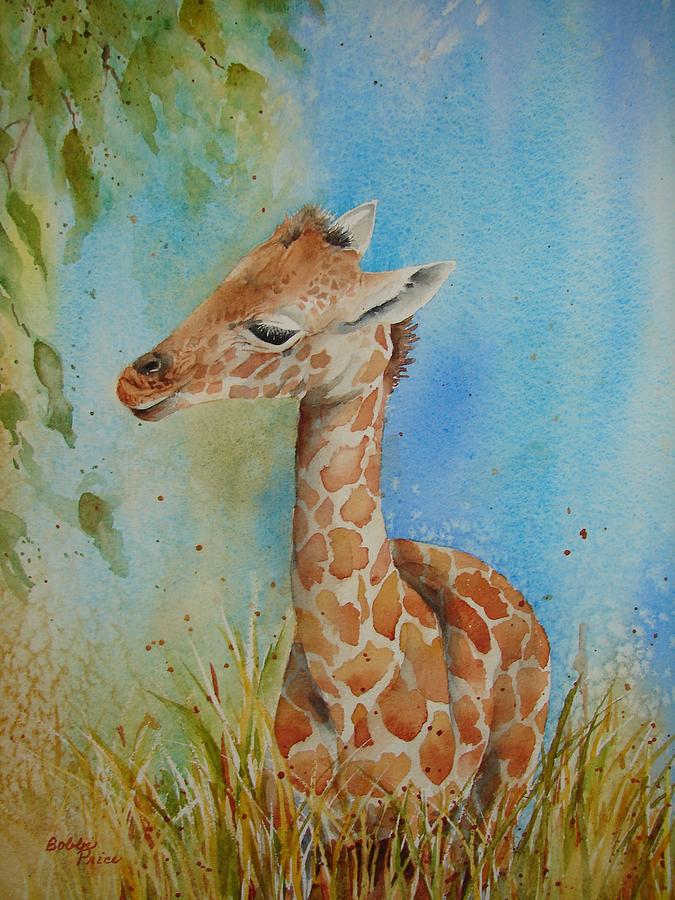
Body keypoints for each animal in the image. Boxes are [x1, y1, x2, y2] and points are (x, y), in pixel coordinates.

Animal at [117, 201, 550, 858]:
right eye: (229, 276)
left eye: (274, 330)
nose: (137, 380)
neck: (352, 682)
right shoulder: (299, 821)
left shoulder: (413, 823)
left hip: (502, 788)